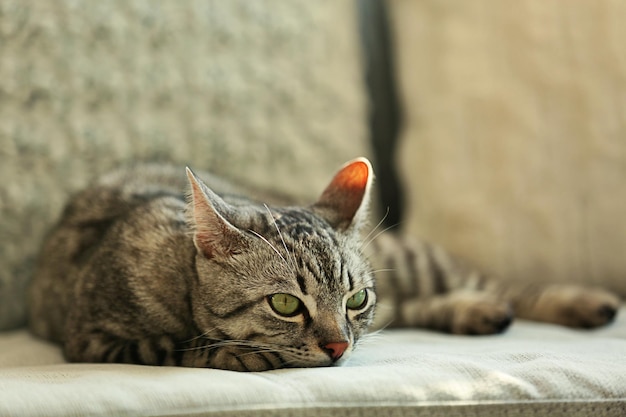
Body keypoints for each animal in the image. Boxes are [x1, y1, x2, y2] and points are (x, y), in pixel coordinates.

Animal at [28, 158, 620, 370]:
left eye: (355, 298)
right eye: (285, 304)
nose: (337, 346)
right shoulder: (92, 339)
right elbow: (174, 345)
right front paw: (238, 353)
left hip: (417, 259)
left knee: (502, 285)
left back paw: (586, 302)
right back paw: (476, 312)